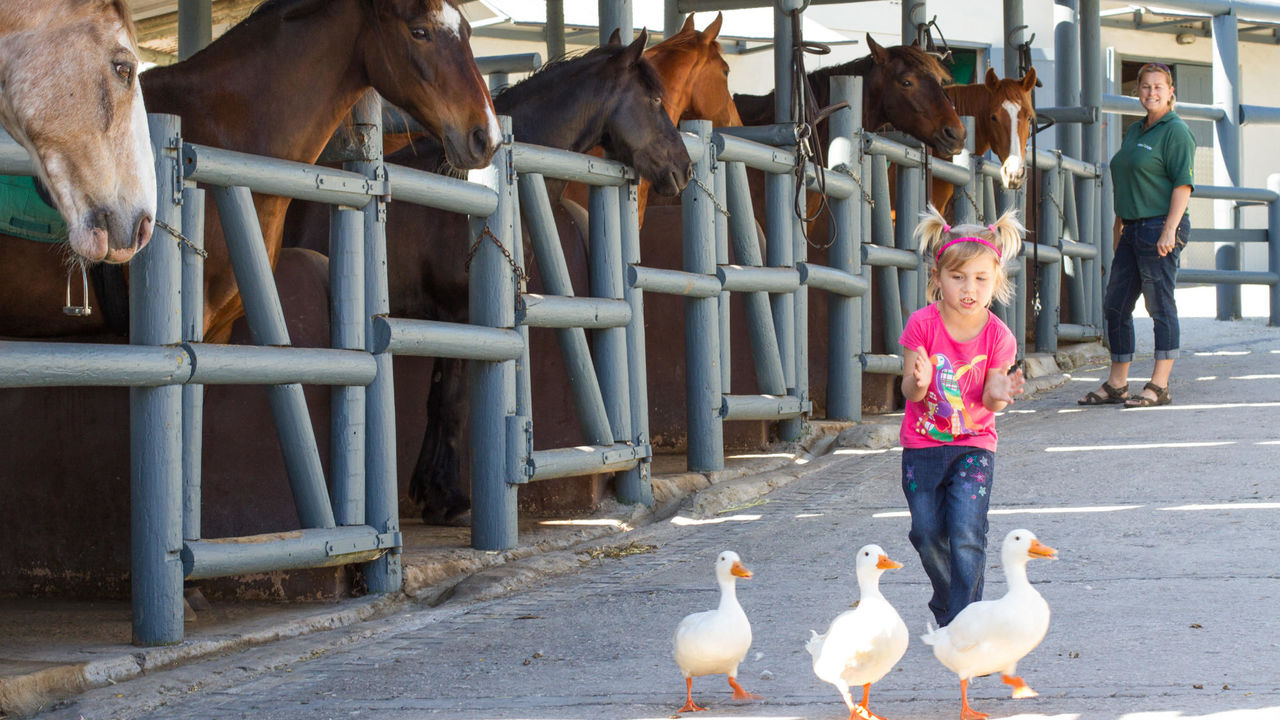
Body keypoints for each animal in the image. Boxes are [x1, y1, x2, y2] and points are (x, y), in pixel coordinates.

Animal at [286, 29, 696, 520]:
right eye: (653, 99)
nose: (684, 168)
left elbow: (440, 399)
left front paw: (429, 490)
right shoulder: (460, 314)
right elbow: (452, 403)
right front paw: (446, 499)